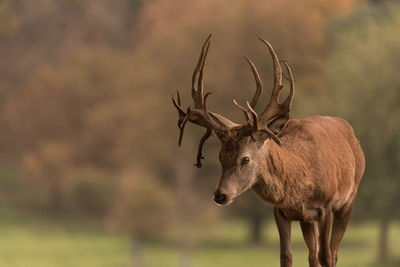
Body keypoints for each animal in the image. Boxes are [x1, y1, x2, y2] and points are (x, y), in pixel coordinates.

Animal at [170, 34, 364, 266]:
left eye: (245, 159)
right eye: (220, 157)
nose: (220, 195)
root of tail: (351, 133)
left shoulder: (326, 205)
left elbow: (326, 257)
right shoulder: (282, 211)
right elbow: (286, 256)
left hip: (349, 198)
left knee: (330, 253)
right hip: (308, 220)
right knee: (312, 254)